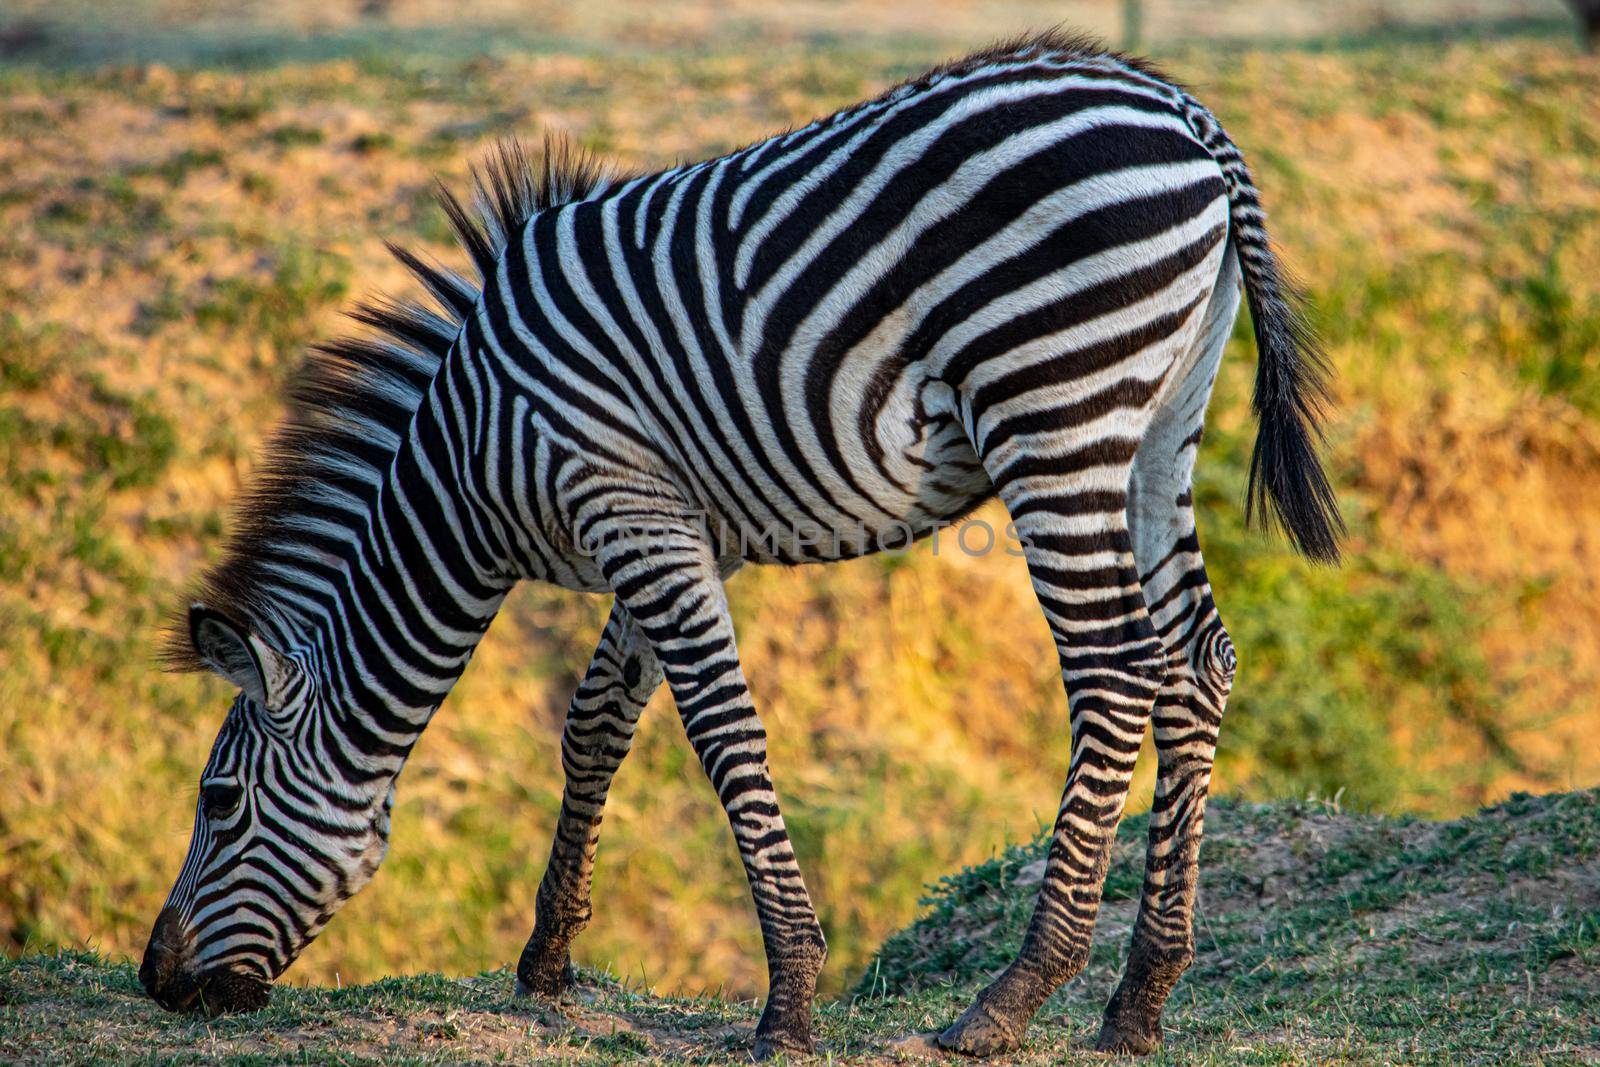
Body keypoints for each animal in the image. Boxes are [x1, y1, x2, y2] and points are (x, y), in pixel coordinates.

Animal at [137, 33, 1344, 1062]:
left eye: (218, 801)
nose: (157, 980)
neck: (472, 453)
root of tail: (1184, 111)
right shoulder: (666, 520)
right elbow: (596, 722)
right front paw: (548, 958)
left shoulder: (625, 503)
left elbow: (722, 734)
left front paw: (790, 998)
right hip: (1158, 421)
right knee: (1198, 661)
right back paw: (1140, 996)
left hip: (1052, 408)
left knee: (1115, 671)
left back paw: (1012, 995)